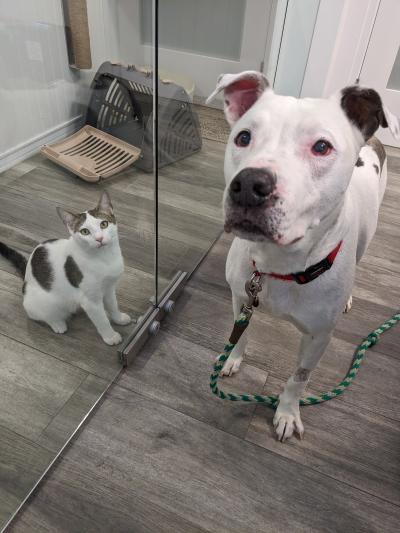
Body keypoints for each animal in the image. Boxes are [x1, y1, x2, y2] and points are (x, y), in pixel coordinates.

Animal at [0, 191, 131, 344]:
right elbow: (102, 320)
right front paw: (110, 336)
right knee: (41, 315)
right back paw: (58, 324)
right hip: (39, 303)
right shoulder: (90, 301)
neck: (105, 258)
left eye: (104, 224)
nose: (99, 239)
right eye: (85, 231)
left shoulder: (109, 288)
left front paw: (119, 318)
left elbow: (113, 305)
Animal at [208, 72, 398, 442]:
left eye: (321, 146)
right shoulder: (241, 298)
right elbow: (240, 334)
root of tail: (373, 140)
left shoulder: (318, 337)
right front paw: (232, 358)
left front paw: (286, 412)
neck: (280, 265)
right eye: (243, 137)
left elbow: (298, 378)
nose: (249, 184)